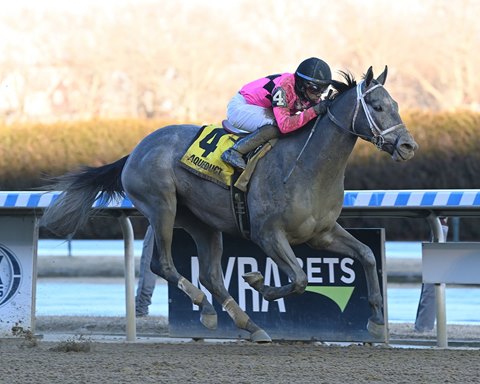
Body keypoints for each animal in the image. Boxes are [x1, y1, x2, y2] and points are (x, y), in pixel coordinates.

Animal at [42, 66, 416, 342]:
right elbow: (297, 278)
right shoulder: (268, 234)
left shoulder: (320, 234)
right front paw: (258, 282)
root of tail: (136, 149)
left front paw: (377, 319)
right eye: (377, 107)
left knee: (210, 276)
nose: (408, 146)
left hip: (202, 223)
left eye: (396, 104)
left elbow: (367, 256)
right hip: (162, 207)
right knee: (163, 265)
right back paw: (204, 306)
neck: (306, 165)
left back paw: (246, 324)